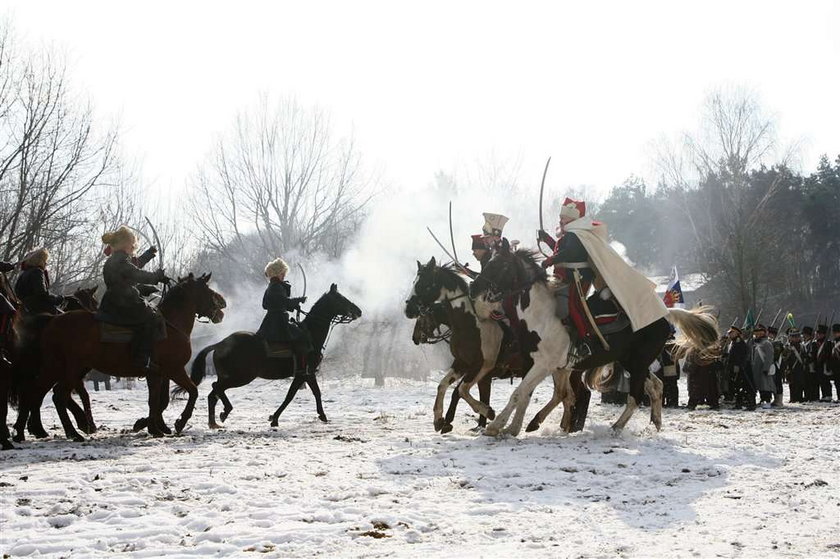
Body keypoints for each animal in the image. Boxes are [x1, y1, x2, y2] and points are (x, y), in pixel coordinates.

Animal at [14, 274, 225, 442]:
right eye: (207, 290)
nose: (222, 306)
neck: (170, 325)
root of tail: (53, 320)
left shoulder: (158, 374)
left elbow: (158, 400)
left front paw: (153, 427)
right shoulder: (174, 370)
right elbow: (191, 392)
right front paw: (177, 423)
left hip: (56, 368)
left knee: (36, 392)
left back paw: (25, 432)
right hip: (71, 369)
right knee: (58, 395)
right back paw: (72, 433)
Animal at [187, 284, 360, 428]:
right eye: (341, 298)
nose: (358, 311)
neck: (310, 334)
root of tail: (221, 344)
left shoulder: (308, 374)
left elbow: (315, 392)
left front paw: (322, 415)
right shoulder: (303, 374)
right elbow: (291, 395)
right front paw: (275, 418)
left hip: (230, 376)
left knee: (213, 394)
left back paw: (213, 422)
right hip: (242, 376)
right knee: (216, 388)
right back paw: (225, 412)